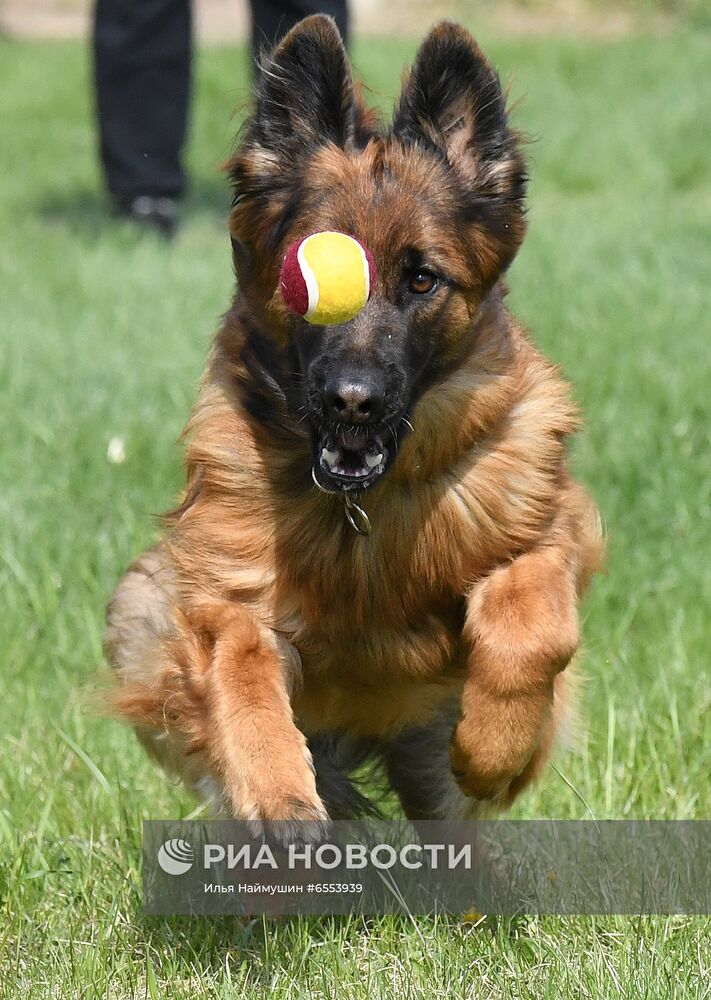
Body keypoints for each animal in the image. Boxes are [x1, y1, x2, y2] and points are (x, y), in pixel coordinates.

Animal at [105, 15, 604, 832]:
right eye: (305, 277)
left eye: (422, 280)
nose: (351, 400)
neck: (362, 512)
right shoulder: (228, 598)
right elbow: (243, 678)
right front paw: (279, 797)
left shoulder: (550, 533)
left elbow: (533, 624)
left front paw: (490, 748)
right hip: (140, 607)